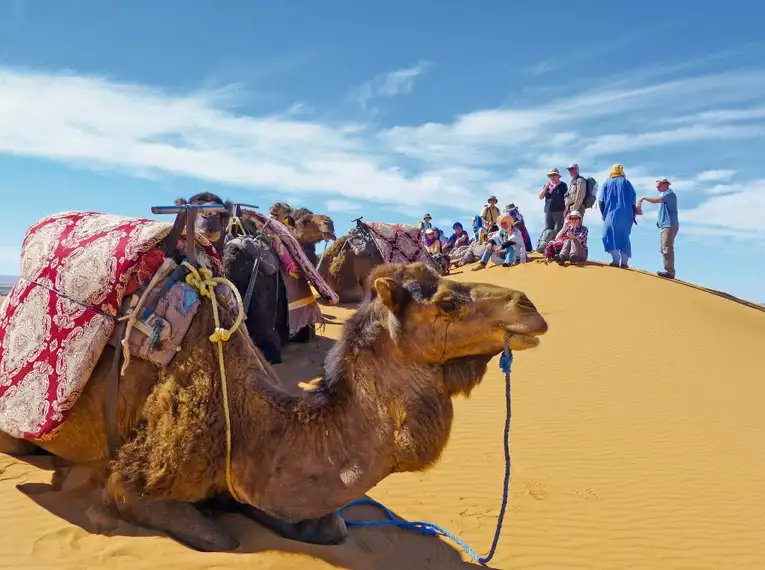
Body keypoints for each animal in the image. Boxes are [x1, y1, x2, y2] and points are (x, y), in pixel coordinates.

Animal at [1, 262, 548, 552]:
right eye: (448, 303)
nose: (529, 307)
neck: (249, 423)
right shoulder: (134, 476)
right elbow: (218, 539)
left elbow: (331, 524)